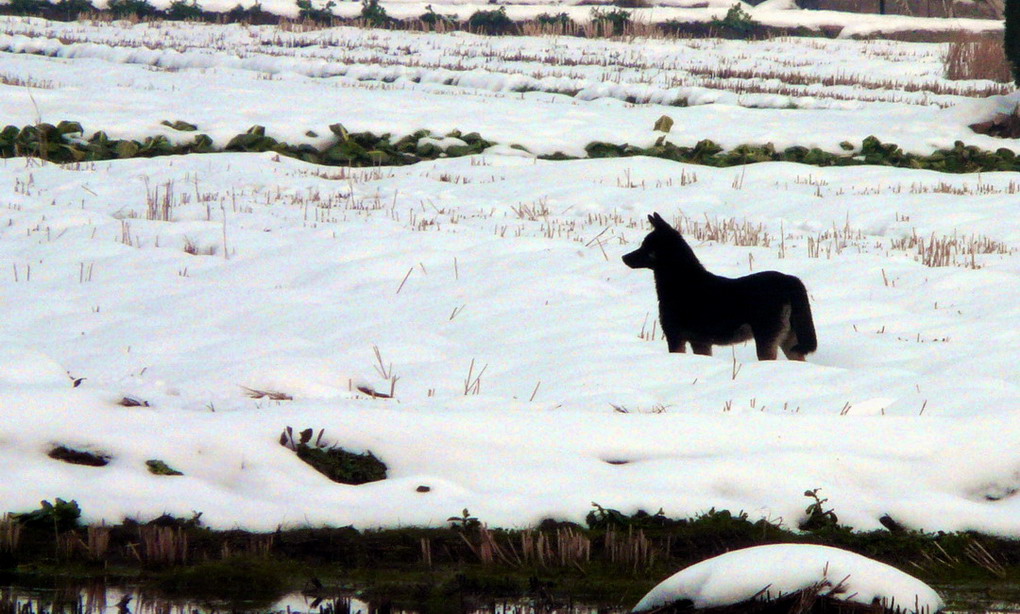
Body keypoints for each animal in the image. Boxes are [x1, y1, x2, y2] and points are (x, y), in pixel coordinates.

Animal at [616, 211, 816, 359]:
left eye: (645, 246)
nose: (623, 257)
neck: (681, 283)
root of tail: (789, 280)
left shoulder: (675, 336)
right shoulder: (700, 342)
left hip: (767, 338)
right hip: (789, 339)